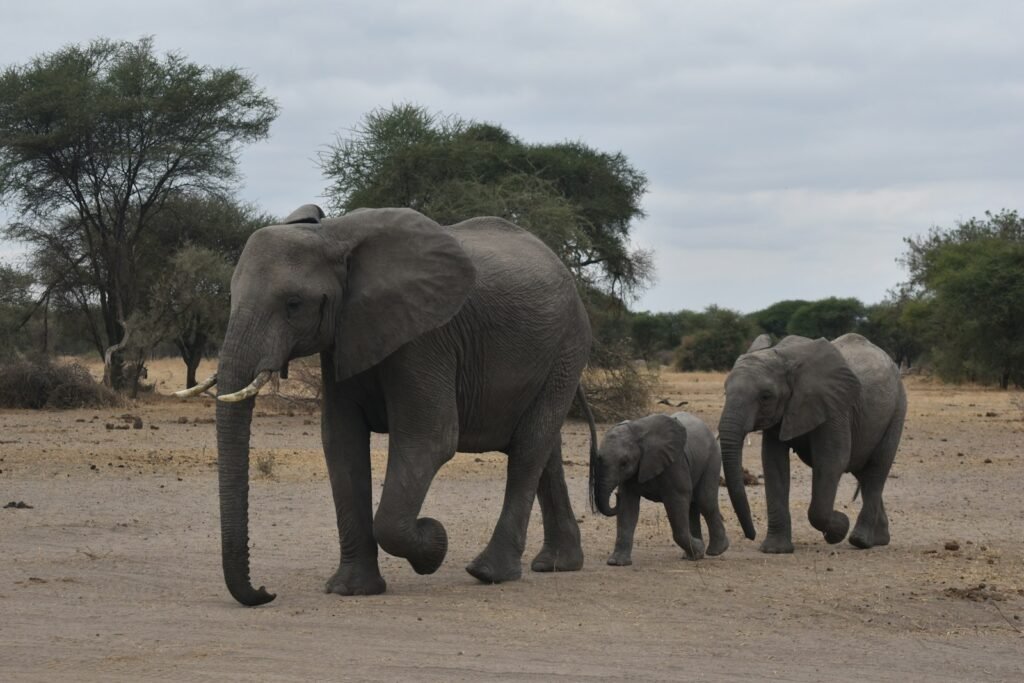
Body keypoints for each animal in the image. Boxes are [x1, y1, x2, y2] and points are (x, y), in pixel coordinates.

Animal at [175, 205, 593, 606]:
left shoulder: (426, 338)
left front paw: (434, 544)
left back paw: (488, 572)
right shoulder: (342, 337)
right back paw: (557, 564)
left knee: (528, 448)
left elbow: (430, 440)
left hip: (567, 347)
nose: (265, 592)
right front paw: (350, 590)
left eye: (293, 304)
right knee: (545, 451)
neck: (334, 235)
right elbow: (341, 442)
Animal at [593, 411, 729, 565]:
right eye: (598, 459)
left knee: (705, 501)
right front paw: (617, 563)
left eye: (624, 463)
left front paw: (700, 548)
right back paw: (692, 555)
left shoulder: (675, 463)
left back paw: (716, 551)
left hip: (712, 458)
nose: (616, 496)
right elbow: (628, 508)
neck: (637, 433)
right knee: (693, 505)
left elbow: (677, 500)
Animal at [720, 333, 905, 552]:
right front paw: (775, 550)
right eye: (725, 392)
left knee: (877, 469)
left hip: (897, 410)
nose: (751, 535)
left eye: (766, 397)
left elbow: (832, 461)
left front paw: (839, 527)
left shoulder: (835, 407)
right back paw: (880, 540)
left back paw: (860, 541)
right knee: (863, 473)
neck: (784, 356)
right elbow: (774, 464)